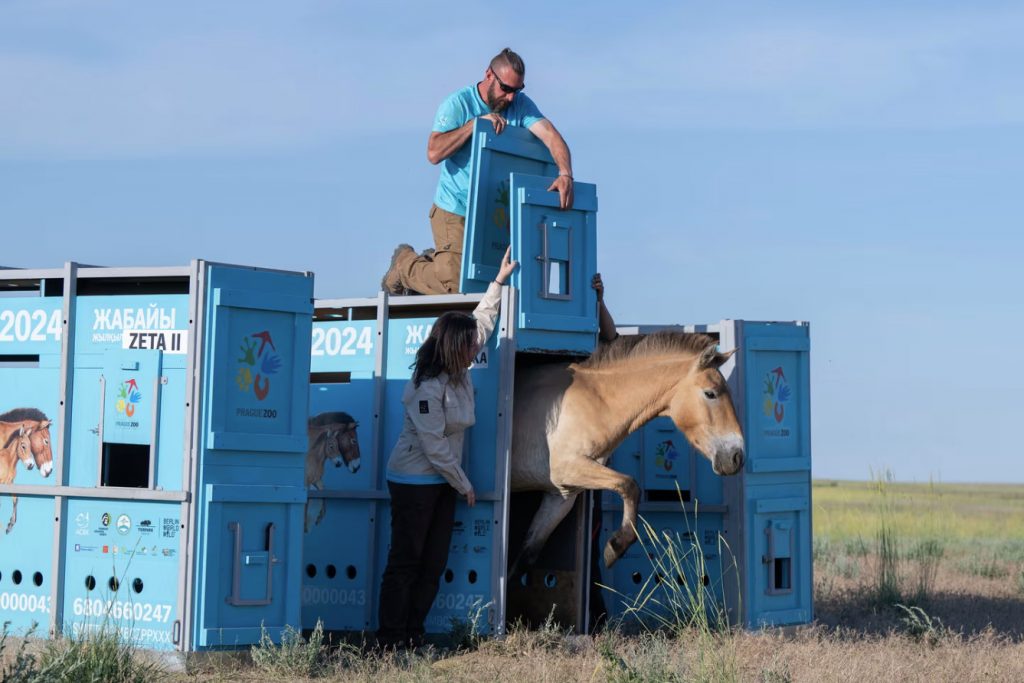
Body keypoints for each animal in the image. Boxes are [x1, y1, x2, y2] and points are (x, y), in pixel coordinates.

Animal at [509, 333, 745, 573]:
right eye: (710, 394)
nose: (737, 456)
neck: (596, 401)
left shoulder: (560, 495)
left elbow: (526, 557)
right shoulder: (568, 467)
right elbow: (629, 485)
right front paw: (616, 546)